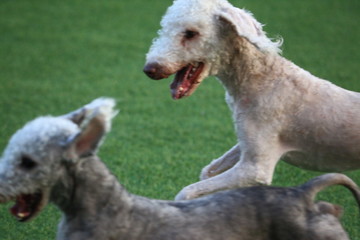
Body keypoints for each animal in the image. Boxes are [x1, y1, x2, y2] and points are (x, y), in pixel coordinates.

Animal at [143, 0, 360, 200]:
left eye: (190, 33)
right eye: (165, 28)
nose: (149, 69)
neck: (259, 78)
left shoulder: (255, 168)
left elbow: (185, 192)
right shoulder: (247, 143)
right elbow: (208, 171)